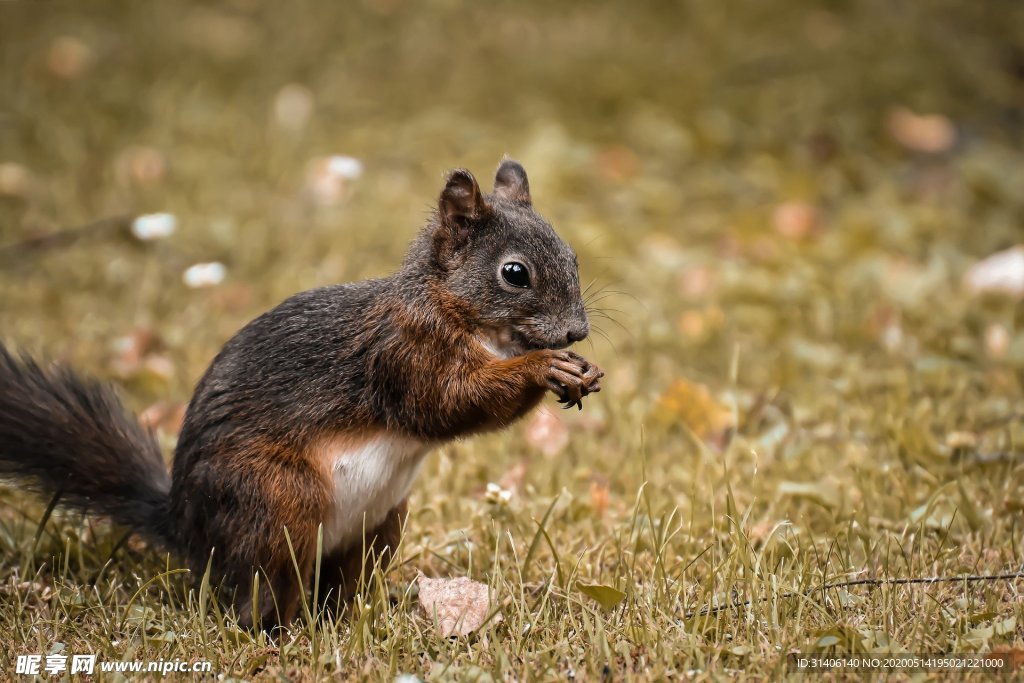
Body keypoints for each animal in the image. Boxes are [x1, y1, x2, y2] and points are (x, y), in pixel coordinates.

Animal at [0, 158, 598, 630]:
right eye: (514, 273)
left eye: (572, 255)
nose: (576, 332)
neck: (457, 312)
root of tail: (188, 528)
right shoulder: (404, 353)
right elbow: (449, 403)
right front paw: (544, 367)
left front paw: (582, 371)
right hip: (276, 499)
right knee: (259, 594)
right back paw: (283, 633)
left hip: (381, 525)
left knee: (336, 587)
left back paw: (355, 619)